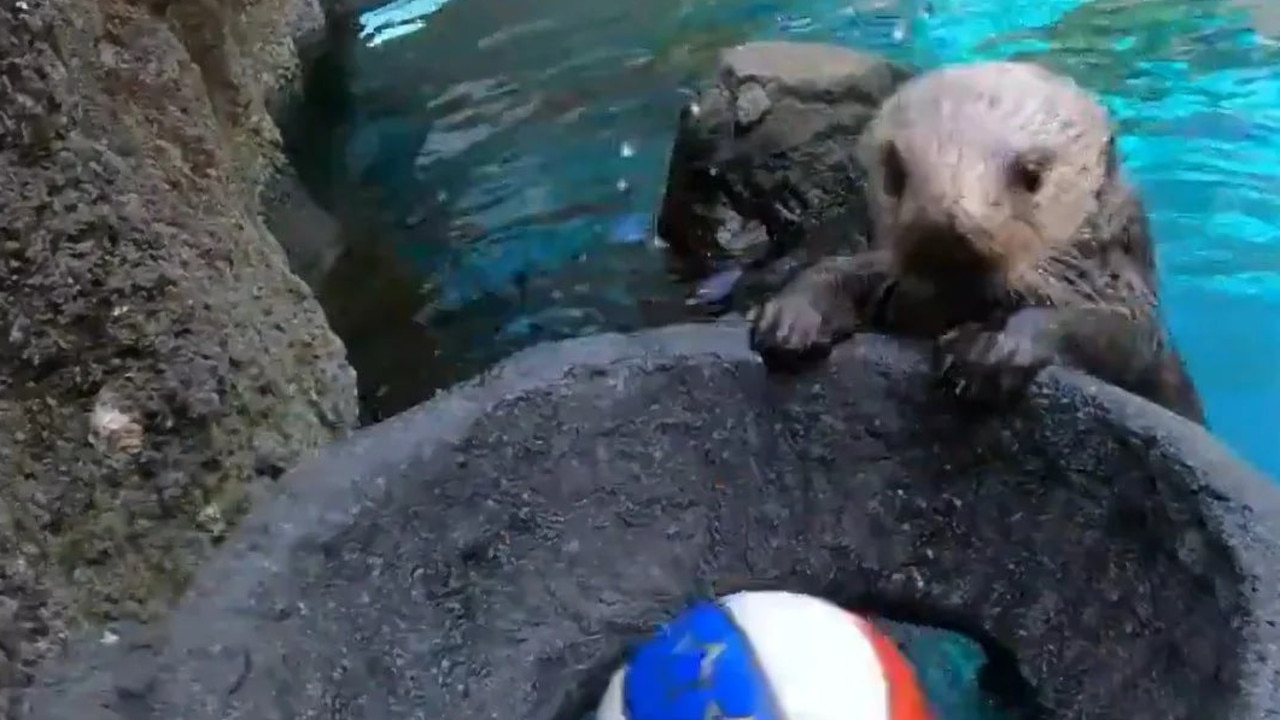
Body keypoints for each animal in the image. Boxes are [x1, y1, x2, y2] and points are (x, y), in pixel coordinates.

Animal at [747, 60, 1203, 425]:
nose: (944, 221)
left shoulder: (1132, 314)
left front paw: (992, 348)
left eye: (1033, 174)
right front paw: (792, 316)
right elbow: (846, 269)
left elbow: (1110, 332)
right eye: (895, 171)